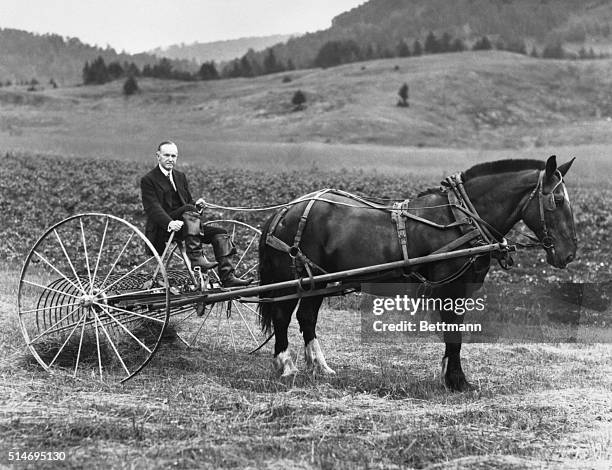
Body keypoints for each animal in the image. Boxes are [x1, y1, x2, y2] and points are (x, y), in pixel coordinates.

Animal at [258, 156, 580, 392]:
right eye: (558, 201)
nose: (569, 253)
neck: (461, 218)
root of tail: (285, 210)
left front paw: (449, 375)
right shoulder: (452, 287)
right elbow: (454, 334)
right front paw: (457, 381)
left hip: (317, 281)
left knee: (306, 317)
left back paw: (319, 366)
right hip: (293, 278)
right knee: (283, 316)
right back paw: (285, 364)